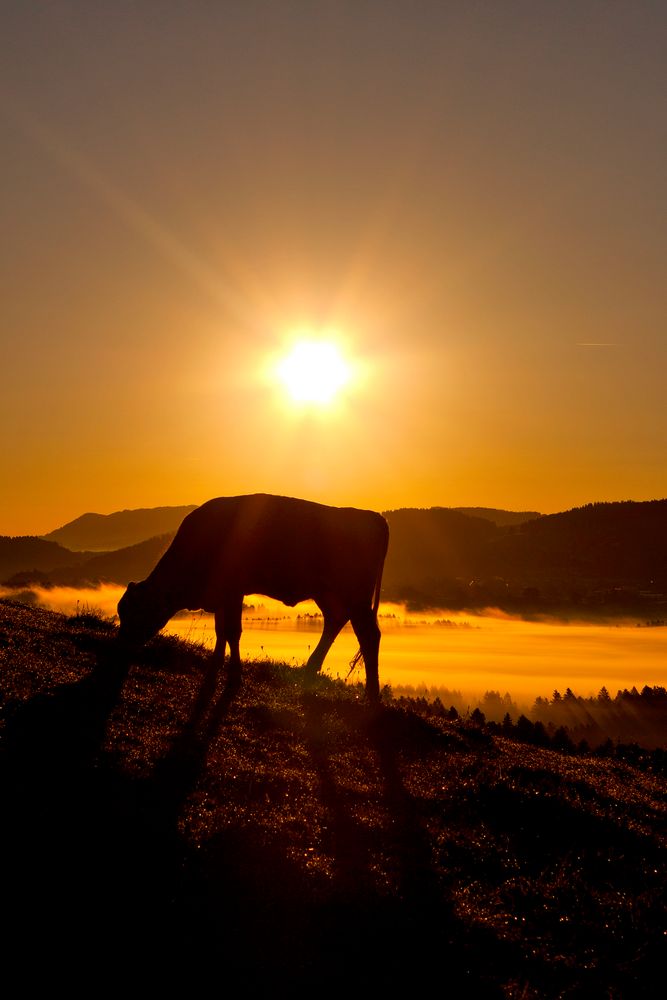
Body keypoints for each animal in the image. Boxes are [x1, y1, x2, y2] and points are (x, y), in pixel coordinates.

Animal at [118, 494, 392, 700]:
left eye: (137, 612)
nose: (121, 645)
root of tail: (373, 516)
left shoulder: (233, 591)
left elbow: (232, 631)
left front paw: (234, 675)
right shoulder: (222, 596)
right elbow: (221, 631)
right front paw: (216, 665)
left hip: (355, 597)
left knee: (369, 636)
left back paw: (371, 694)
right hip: (329, 594)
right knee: (335, 621)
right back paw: (310, 670)